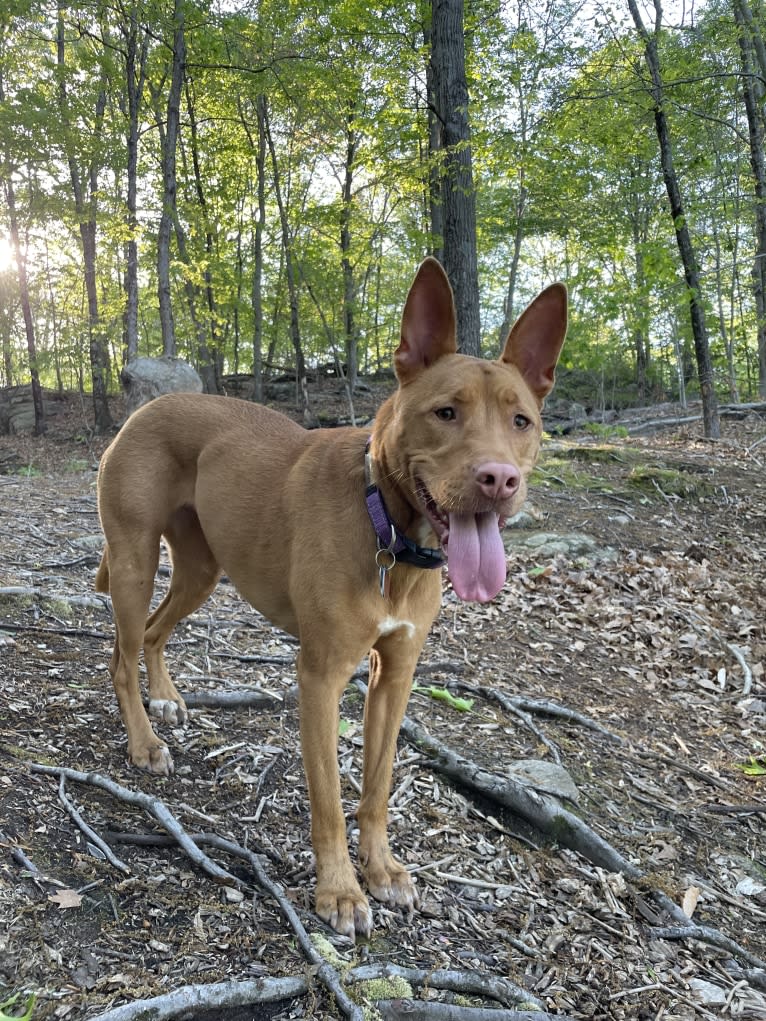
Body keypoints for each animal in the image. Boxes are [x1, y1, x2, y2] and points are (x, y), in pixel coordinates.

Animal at [96, 257, 567, 939]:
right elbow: (329, 800)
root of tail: (146, 407)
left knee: (156, 634)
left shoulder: (394, 675)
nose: (498, 479)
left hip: (202, 571)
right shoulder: (320, 676)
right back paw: (143, 741)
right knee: (121, 656)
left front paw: (383, 869)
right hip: (134, 562)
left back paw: (166, 698)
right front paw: (340, 891)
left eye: (521, 421)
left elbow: (375, 787)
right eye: (446, 413)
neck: (389, 533)